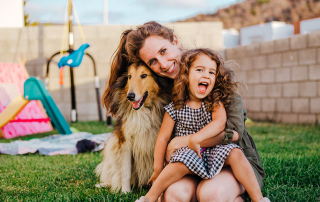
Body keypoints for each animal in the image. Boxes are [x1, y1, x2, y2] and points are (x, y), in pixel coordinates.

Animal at [95, 62, 172, 193]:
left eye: (144, 75)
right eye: (129, 76)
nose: (130, 96)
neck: (143, 111)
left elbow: (158, 169)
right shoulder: (125, 142)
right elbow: (126, 172)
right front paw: (125, 192)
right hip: (112, 146)